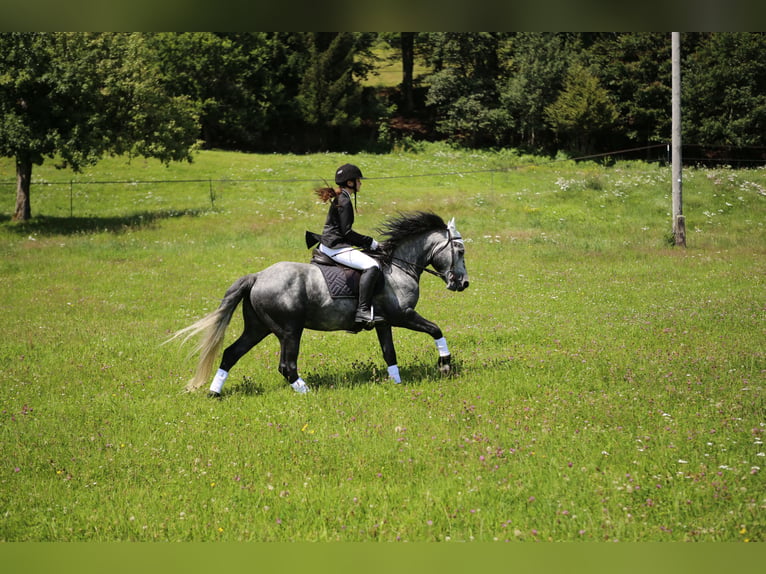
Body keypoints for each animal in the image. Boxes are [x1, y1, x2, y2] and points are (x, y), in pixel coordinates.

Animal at [168, 211, 469, 396]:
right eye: (460, 250)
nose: (463, 283)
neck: (397, 267)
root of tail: (257, 277)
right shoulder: (403, 315)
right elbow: (436, 329)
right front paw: (444, 364)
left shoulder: (384, 323)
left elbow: (389, 353)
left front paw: (396, 383)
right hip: (290, 330)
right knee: (287, 366)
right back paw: (308, 392)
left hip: (258, 328)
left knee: (231, 353)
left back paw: (214, 393)